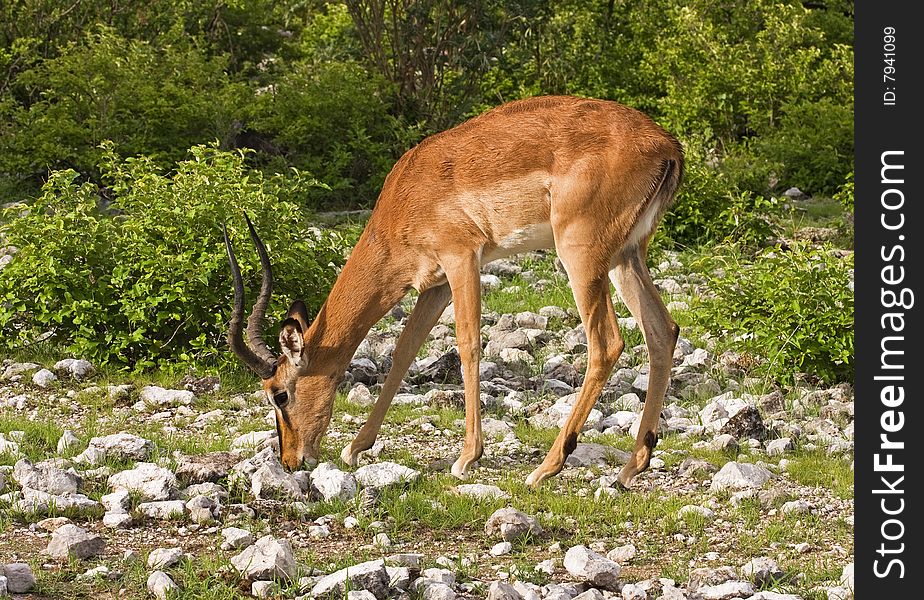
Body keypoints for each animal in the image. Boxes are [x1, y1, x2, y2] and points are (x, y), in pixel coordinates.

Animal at [226, 95, 684, 488]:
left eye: (279, 394)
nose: (290, 460)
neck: (405, 194)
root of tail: (666, 144)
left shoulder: (461, 257)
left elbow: (468, 345)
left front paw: (467, 458)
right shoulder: (435, 284)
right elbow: (404, 351)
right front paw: (357, 447)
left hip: (581, 255)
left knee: (606, 343)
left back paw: (545, 468)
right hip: (626, 256)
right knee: (663, 330)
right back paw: (630, 469)